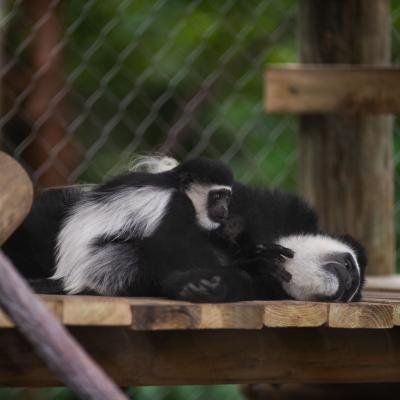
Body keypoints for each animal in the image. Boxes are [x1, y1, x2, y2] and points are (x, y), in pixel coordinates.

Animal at [2, 156, 366, 304]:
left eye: (346, 294)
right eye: (349, 266)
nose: (346, 282)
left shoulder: (264, 286)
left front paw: (203, 286)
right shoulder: (267, 207)